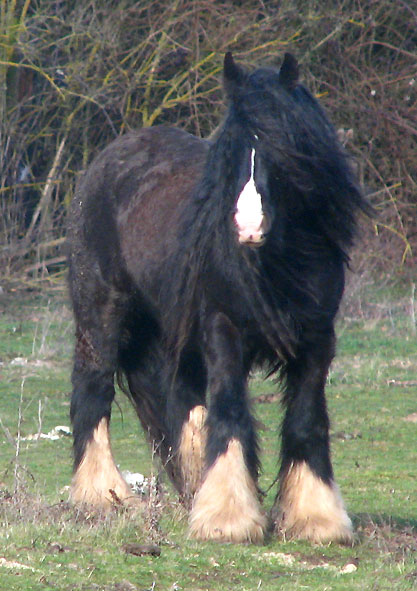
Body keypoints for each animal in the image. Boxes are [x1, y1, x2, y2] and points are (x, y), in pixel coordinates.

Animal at [66, 53, 366, 544]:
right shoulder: (224, 329)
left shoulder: (318, 339)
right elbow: (229, 411)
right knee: (93, 394)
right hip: (101, 311)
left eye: (283, 147)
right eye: (230, 148)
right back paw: (101, 496)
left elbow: (305, 420)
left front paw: (316, 518)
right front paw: (229, 518)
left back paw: (189, 492)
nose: (247, 225)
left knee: (182, 408)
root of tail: (109, 158)